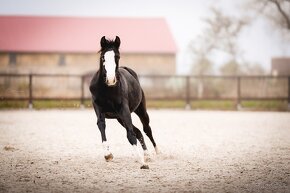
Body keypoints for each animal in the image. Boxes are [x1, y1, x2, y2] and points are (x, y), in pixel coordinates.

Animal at [90, 35, 159, 169]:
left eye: (117, 56)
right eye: (103, 57)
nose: (111, 79)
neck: (107, 90)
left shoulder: (124, 109)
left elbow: (130, 134)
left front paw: (142, 163)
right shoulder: (98, 107)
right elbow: (101, 125)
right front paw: (108, 155)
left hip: (140, 111)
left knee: (146, 129)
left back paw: (156, 152)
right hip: (119, 118)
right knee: (138, 132)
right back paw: (147, 155)